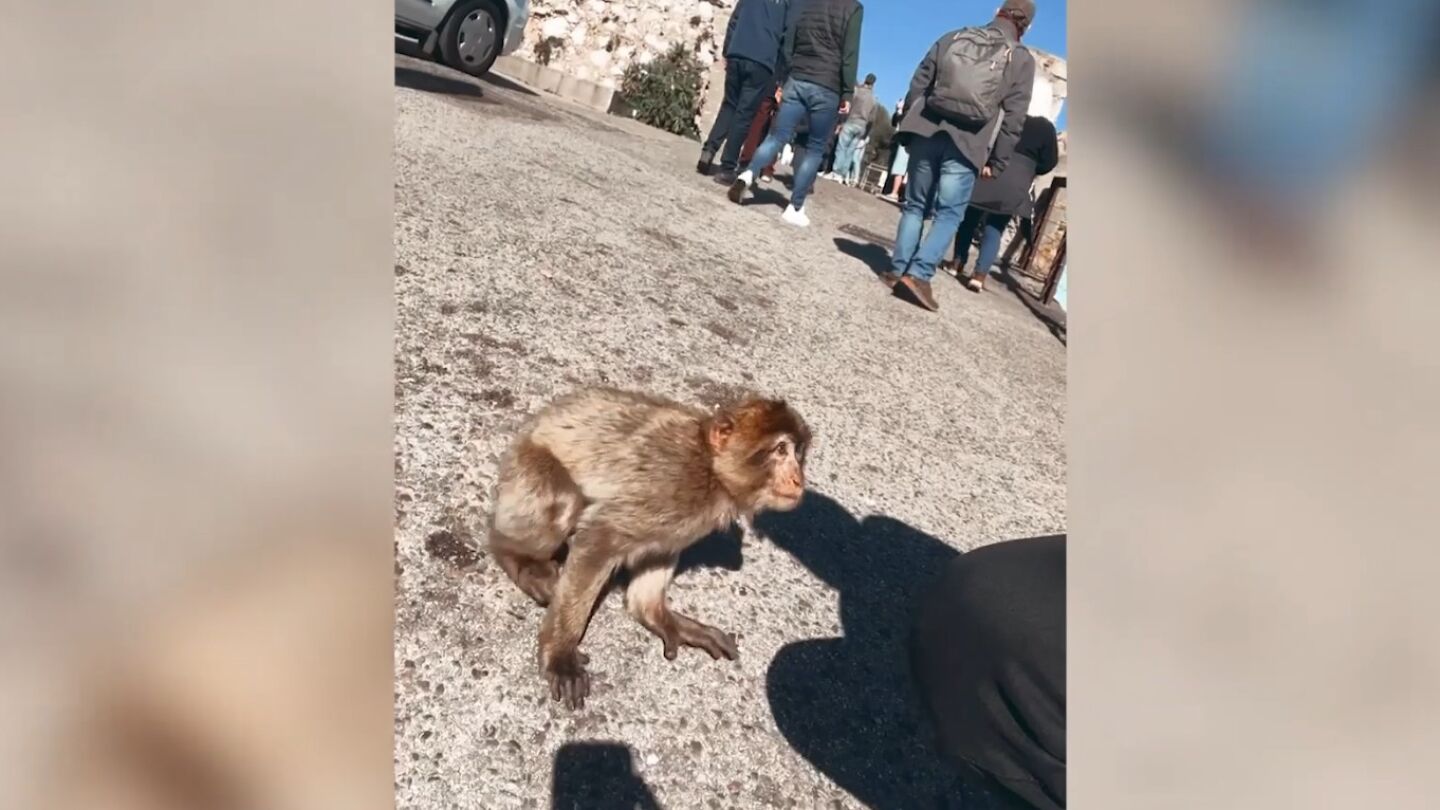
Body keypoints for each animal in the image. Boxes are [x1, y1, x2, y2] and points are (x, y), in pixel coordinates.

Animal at [486, 387, 811, 709]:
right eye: (780, 450)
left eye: (797, 453)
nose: (799, 480)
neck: (712, 475)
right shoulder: (671, 485)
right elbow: (599, 538)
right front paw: (560, 651)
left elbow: (658, 553)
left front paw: (662, 618)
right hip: (524, 473)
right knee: (564, 501)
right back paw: (514, 555)